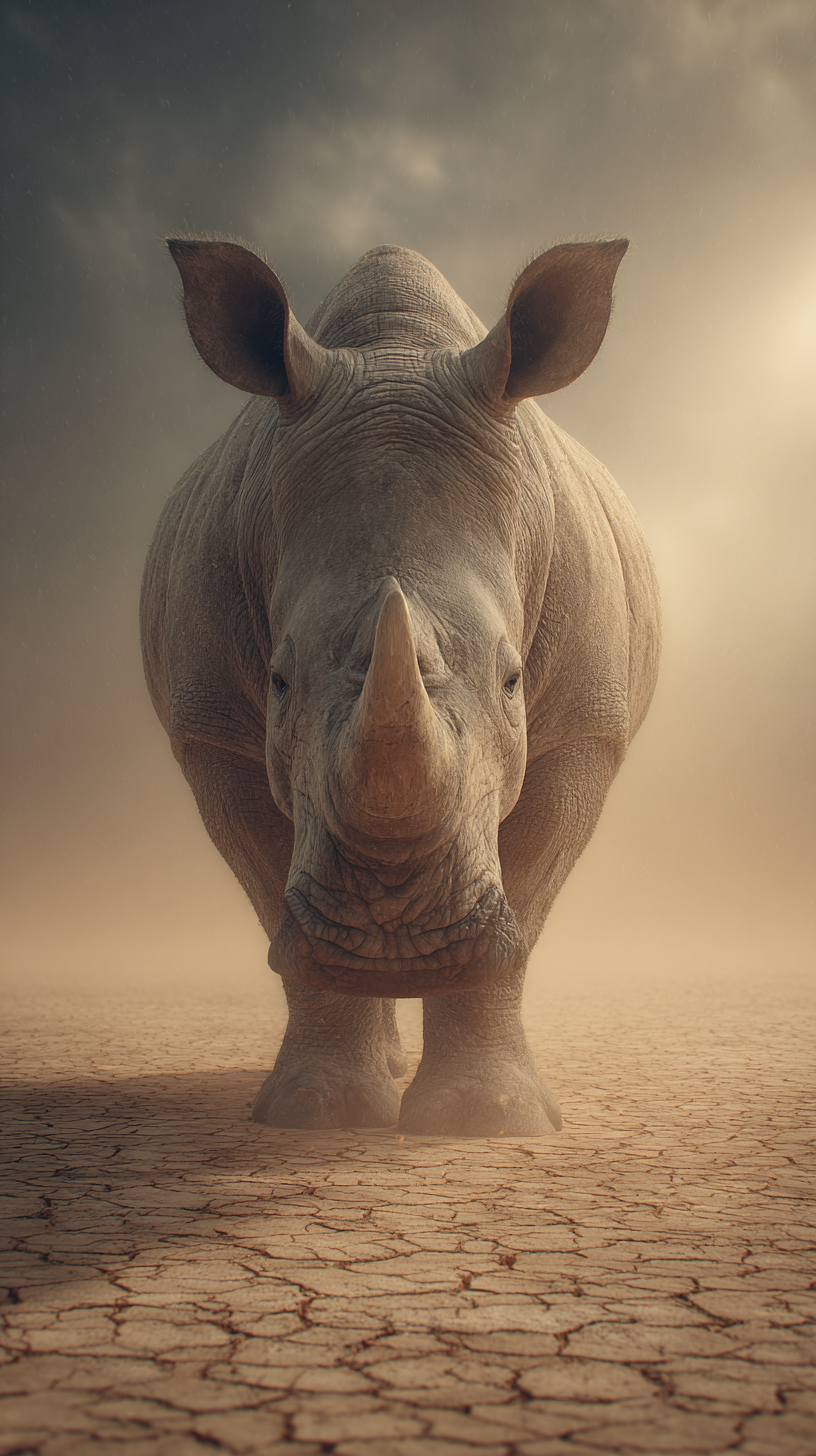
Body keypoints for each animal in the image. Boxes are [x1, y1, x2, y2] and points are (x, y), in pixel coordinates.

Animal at [140, 234, 660, 1137]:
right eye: (277, 681)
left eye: (514, 681)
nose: (394, 945)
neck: (395, 354)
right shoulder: (213, 729)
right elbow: (268, 879)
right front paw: (318, 1113)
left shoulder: (583, 725)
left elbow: (528, 890)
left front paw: (487, 1121)